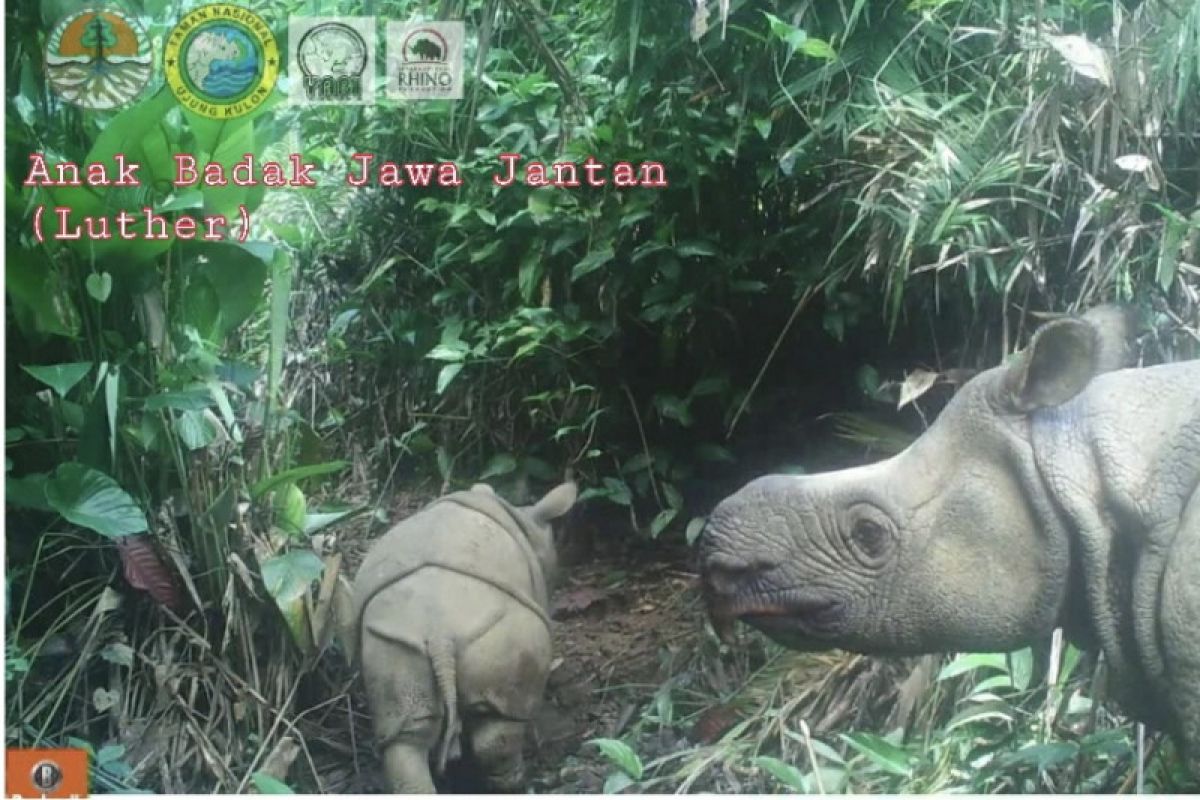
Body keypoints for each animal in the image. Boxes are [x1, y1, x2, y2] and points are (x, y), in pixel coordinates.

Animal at [345, 482, 578, 786]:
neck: (526, 520)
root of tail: (438, 634)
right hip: (501, 635)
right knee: (501, 721)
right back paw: (518, 780)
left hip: (391, 644)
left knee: (406, 738)